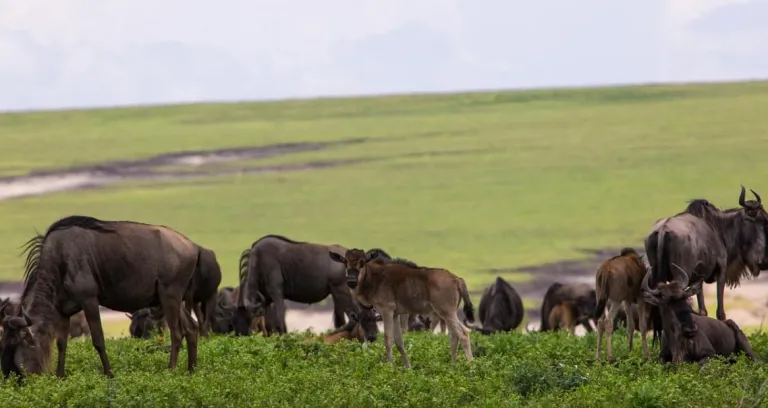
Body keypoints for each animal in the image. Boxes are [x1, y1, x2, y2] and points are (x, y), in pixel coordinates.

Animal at [326, 249, 472, 370]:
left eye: (362, 262)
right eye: (345, 262)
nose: (351, 281)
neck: (374, 278)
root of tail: (457, 279)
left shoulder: (386, 310)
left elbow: (388, 339)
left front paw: (390, 367)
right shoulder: (396, 314)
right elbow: (399, 341)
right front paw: (408, 368)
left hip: (447, 313)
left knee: (463, 334)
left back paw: (471, 366)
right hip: (447, 314)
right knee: (454, 335)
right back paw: (453, 366)